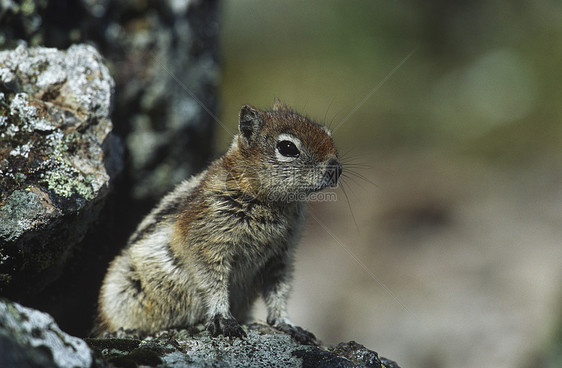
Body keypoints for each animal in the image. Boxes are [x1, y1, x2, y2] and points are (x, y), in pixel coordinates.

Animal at [95, 99, 340, 344]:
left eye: (327, 134)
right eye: (288, 148)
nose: (335, 168)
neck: (269, 202)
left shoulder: (281, 256)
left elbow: (279, 291)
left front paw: (288, 324)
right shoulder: (208, 243)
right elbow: (212, 282)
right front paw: (223, 318)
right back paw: (122, 331)